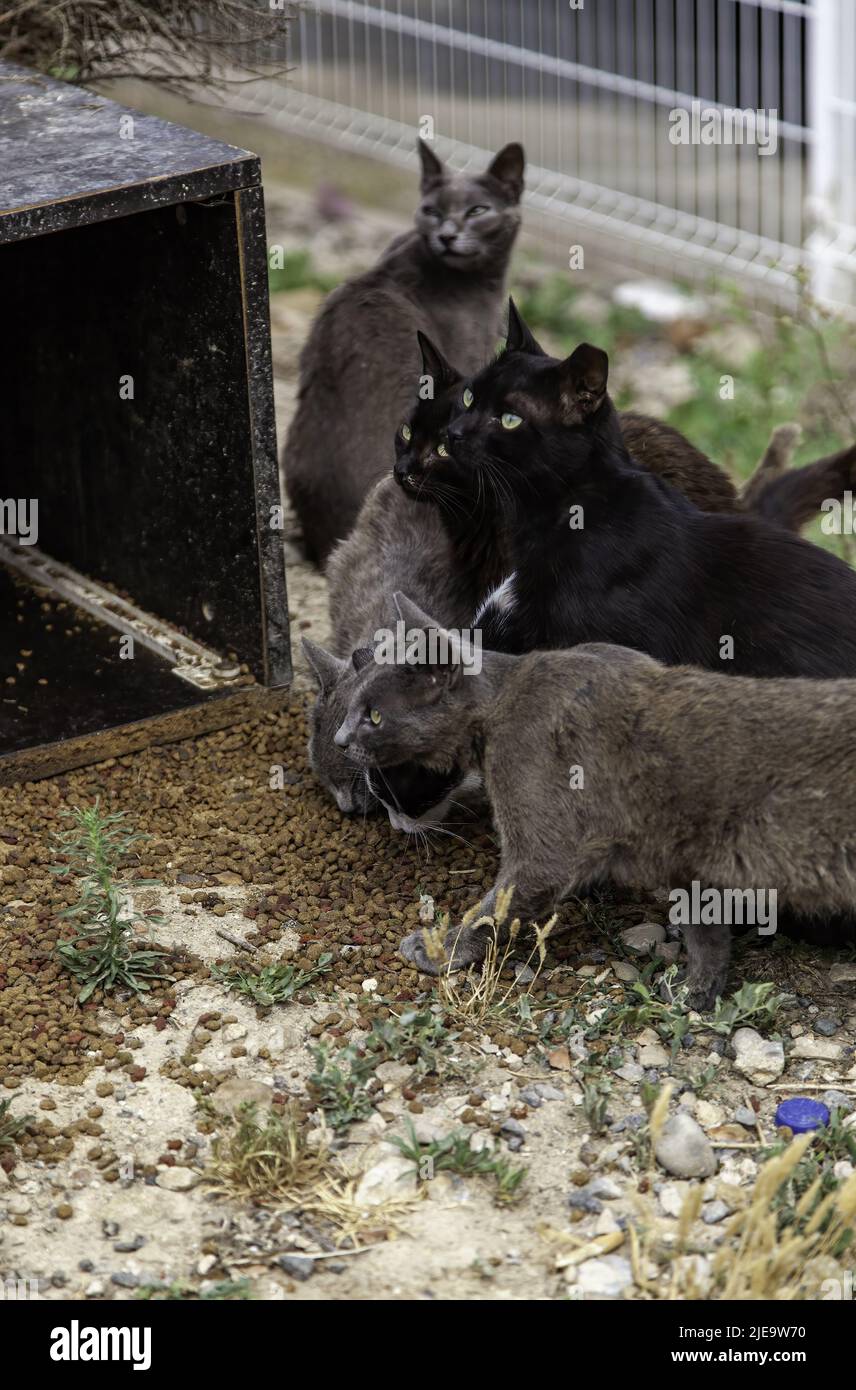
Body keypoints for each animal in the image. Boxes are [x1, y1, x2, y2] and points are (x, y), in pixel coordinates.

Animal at [330, 592, 856, 1006]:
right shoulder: (683, 852)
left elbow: (497, 907)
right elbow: (705, 926)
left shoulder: (544, 851)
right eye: (354, 707)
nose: (339, 740)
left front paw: (443, 947)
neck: (502, 699)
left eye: (374, 715)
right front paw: (697, 990)